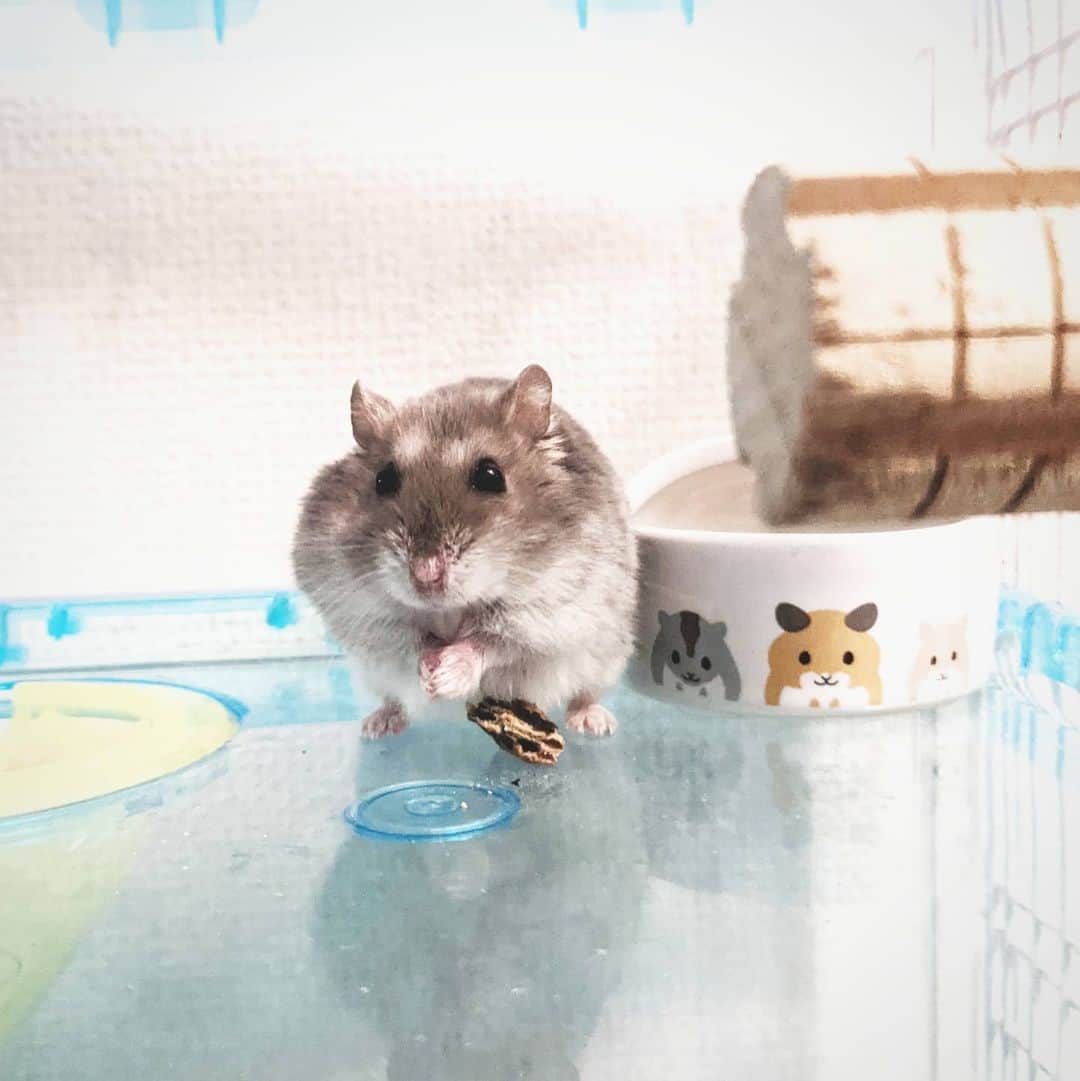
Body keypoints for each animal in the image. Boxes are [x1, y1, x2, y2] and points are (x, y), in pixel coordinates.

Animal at [292, 365, 638, 739]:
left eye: (490, 475)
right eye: (383, 479)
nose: (425, 575)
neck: (449, 610)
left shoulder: (549, 609)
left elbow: (492, 642)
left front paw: (445, 678)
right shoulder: (364, 615)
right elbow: (414, 641)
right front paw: (431, 676)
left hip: (607, 656)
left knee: (586, 693)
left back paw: (593, 723)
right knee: (392, 698)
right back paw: (378, 725)